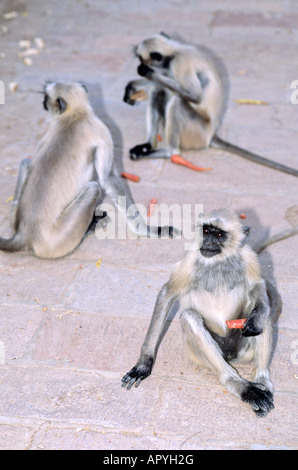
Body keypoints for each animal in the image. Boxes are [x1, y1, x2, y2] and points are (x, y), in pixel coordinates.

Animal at [0, 80, 177, 258]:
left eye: (45, 97)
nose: (43, 103)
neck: (75, 115)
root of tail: (22, 234)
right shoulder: (101, 130)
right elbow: (108, 179)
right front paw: (150, 230)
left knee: (26, 162)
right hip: (56, 241)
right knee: (94, 188)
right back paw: (88, 228)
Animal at [122, 209, 282, 418]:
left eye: (219, 235)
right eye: (206, 231)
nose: (208, 243)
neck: (219, 261)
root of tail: (230, 355)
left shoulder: (248, 257)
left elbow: (257, 286)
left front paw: (257, 317)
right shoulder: (190, 260)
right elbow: (167, 294)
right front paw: (143, 364)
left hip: (243, 348)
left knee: (262, 316)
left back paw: (262, 380)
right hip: (198, 353)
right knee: (190, 317)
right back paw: (241, 386)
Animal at [123, 32, 298, 177]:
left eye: (142, 60)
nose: (141, 66)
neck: (175, 51)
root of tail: (211, 134)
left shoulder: (179, 64)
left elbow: (194, 96)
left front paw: (147, 73)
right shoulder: (168, 67)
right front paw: (132, 85)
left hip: (196, 133)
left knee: (177, 101)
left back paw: (168, 152)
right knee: (158, 92)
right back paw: (148, 145)